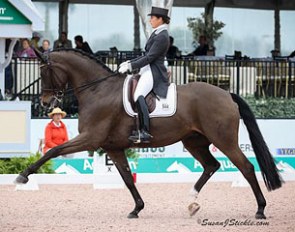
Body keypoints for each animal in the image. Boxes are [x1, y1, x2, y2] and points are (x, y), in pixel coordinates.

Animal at [15, 49, 284, 219]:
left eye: (45, 72)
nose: (46, 103)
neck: (98, 90)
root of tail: (227, 94)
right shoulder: (112, 147)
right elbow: (126, 177)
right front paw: (137, 208)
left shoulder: (91, 138)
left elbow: (54, 150)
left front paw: (23, 176)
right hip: (194, 141)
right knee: (212, 165)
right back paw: (191, 201)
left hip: (223, 139)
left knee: (246, 167)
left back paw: (260, 210)